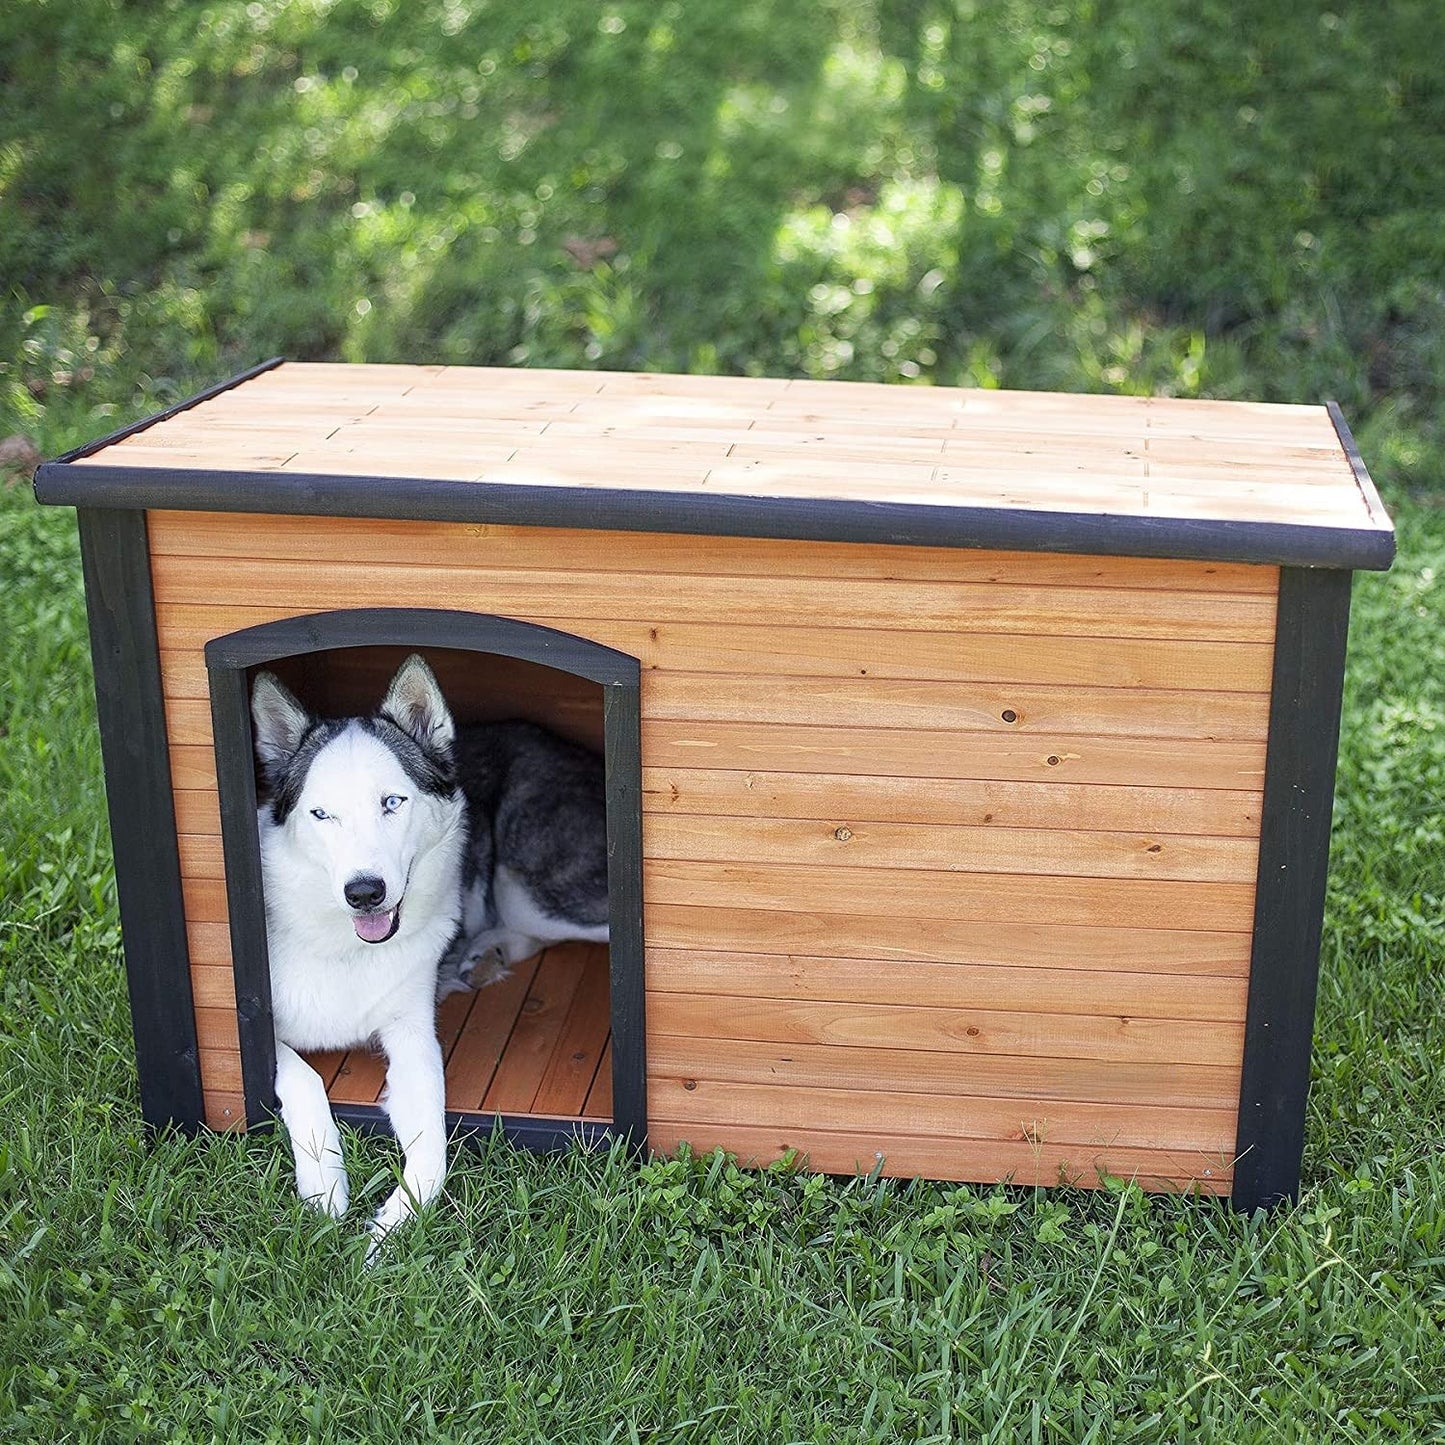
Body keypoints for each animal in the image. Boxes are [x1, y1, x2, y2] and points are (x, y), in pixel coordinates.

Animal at [249, 658, 609, 1254]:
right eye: (321, 814)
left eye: (392, 802)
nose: (364, 892)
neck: (348, 948)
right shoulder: (259, 1028)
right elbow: (305, 1079)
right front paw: (325, 1189)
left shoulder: (415, 1041)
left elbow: (434, 1152)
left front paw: (387, 1234)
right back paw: (486, 953)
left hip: (529, 886)